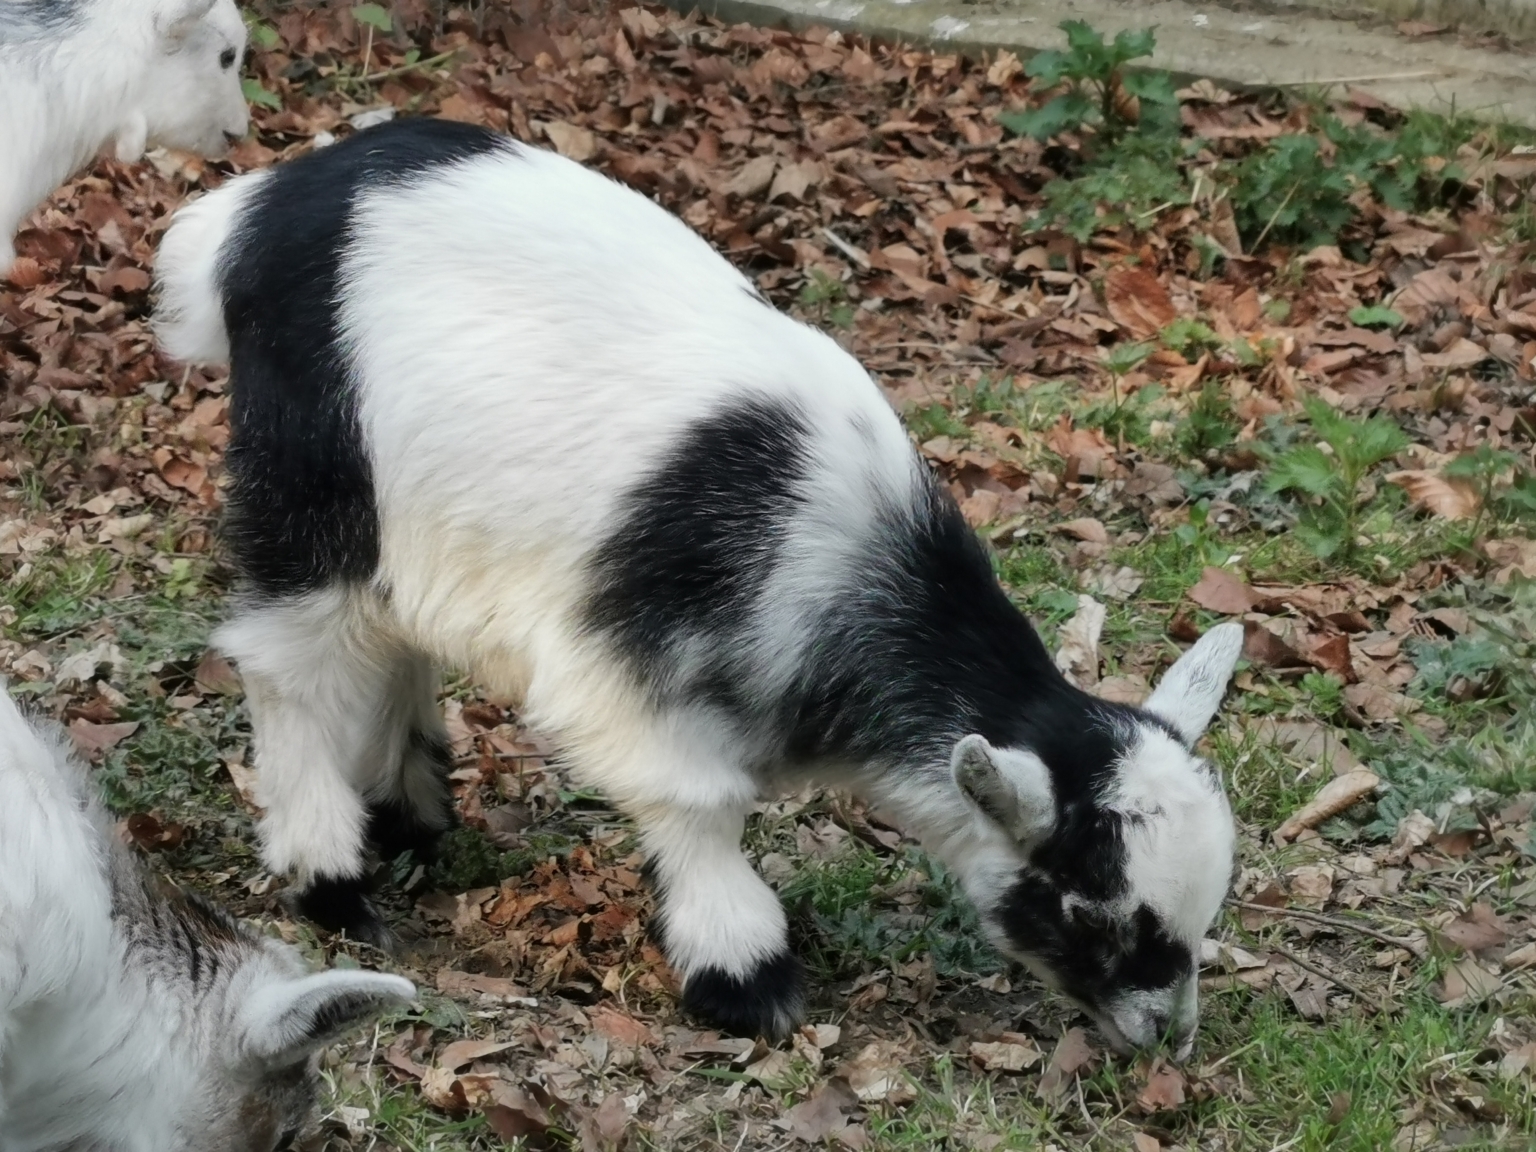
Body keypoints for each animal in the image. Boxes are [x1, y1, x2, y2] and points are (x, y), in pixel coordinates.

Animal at [154, 117, 1245, 1055]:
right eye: (1090, 908)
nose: (1168, 1036)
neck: (850, 565)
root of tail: (253, 213)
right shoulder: (622, 646)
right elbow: (696, 799)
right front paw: (744, 971)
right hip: (313, 472)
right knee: (291, 663)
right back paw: (330, 876)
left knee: (391, 633)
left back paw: (408, 810)